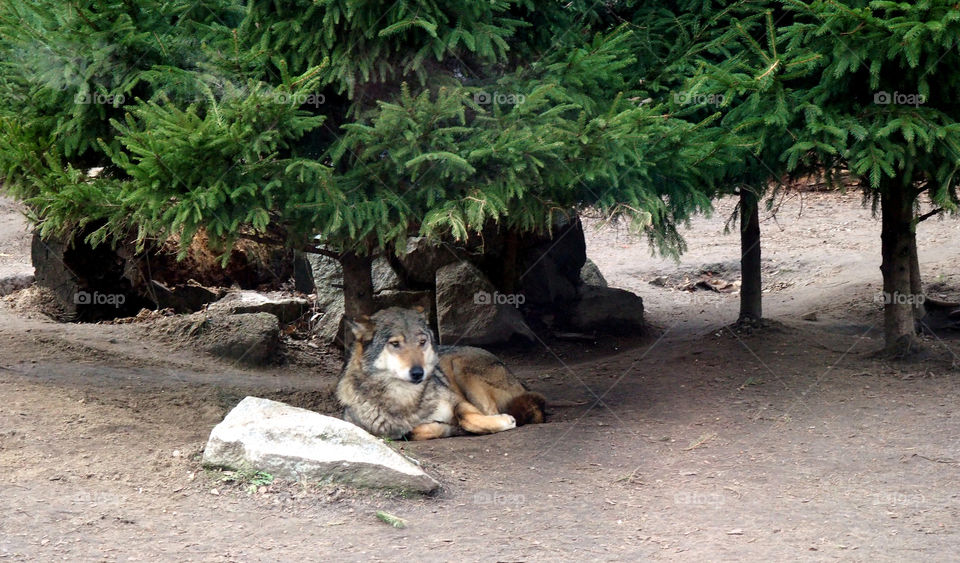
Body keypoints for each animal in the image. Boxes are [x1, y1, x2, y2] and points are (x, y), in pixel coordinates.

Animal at [335, 307, 546, 440]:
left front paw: (500, 422)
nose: (418, 373)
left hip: (460, 367)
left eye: (422, 342)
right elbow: (413, 431)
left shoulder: (458, 401)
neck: (406, 400)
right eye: (395, 344)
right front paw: (445, 428)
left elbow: (466, 418)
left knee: (493, 410)